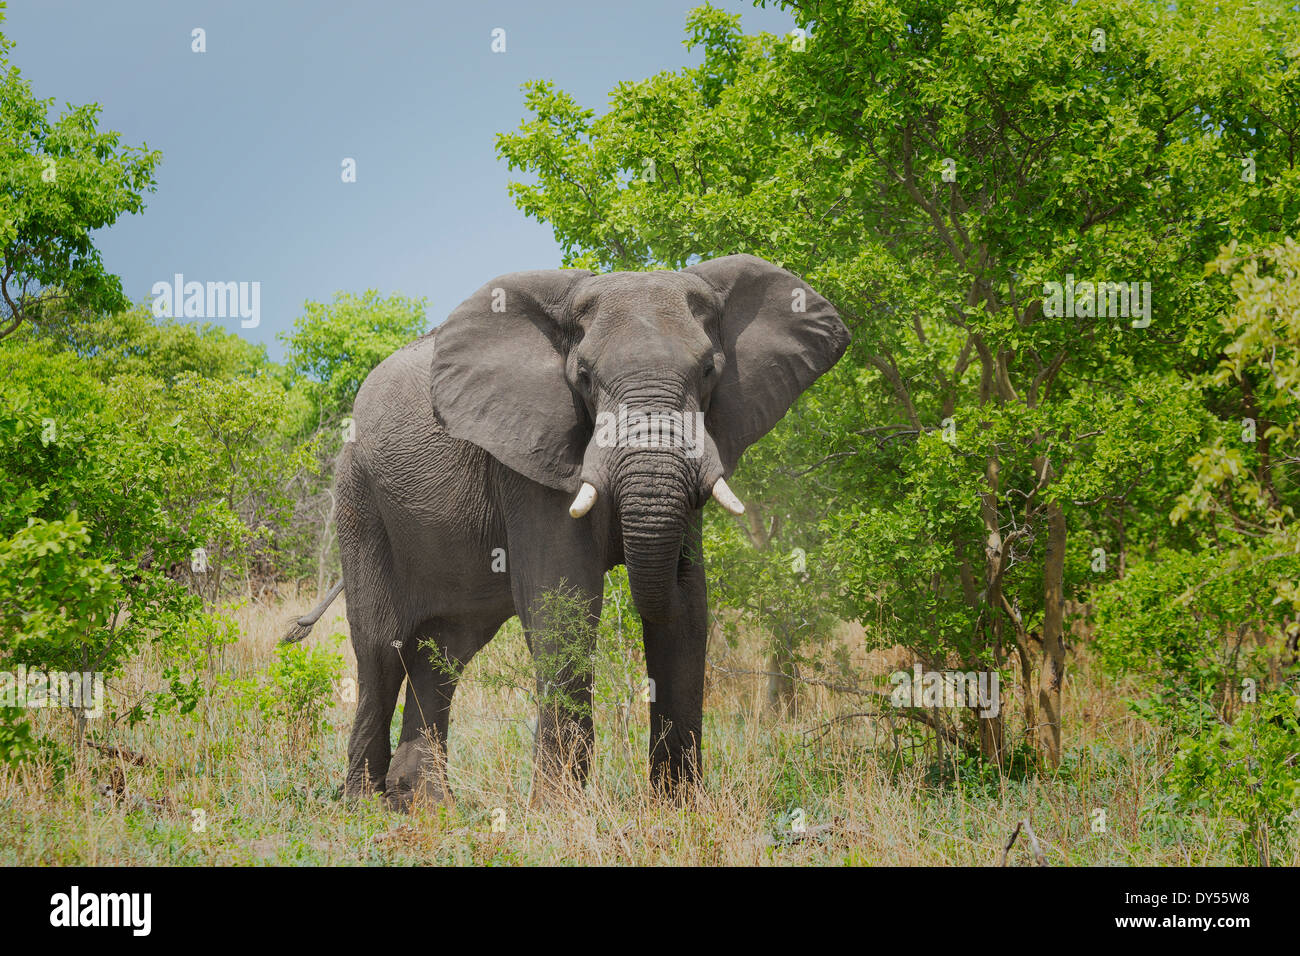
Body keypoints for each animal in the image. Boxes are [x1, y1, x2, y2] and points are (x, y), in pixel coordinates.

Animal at [284, 252, 847, 806]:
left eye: (709, 370)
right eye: (584, 376)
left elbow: (689, 609)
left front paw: (679, 809)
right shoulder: (528, 456)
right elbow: (564, 596)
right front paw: (559, 811)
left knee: (444, 652)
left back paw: (423, 804)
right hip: (359, 498)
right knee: (382, 648)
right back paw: (364, 805)